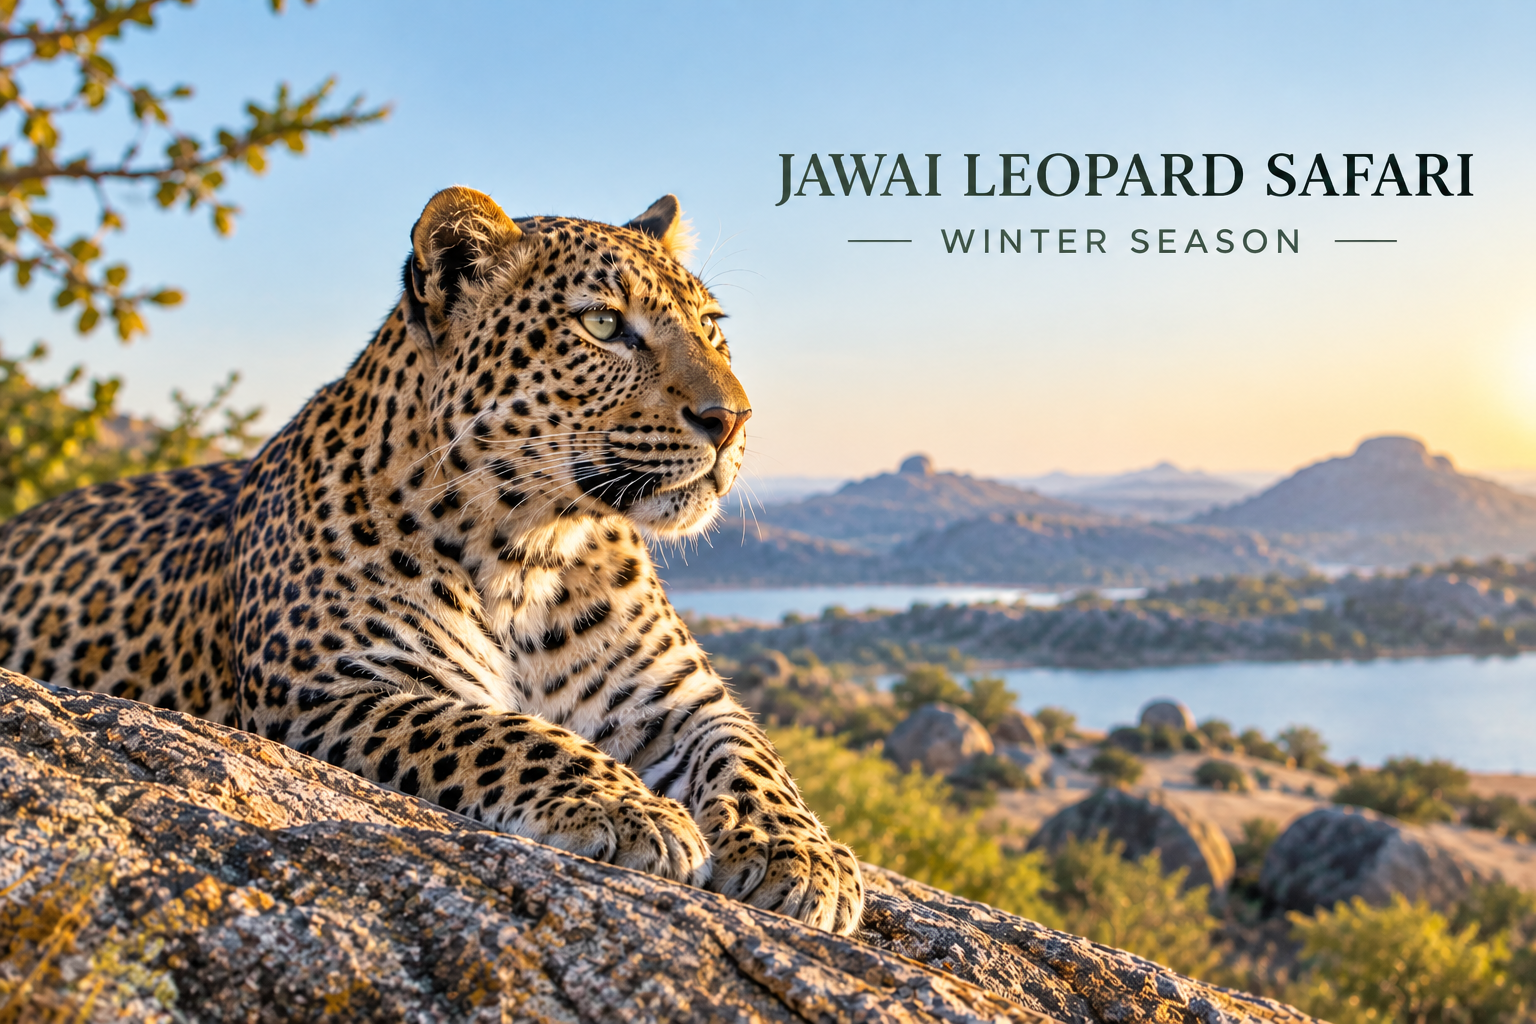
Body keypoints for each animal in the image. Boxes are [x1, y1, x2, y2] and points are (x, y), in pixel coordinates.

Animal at [0, 187, 865, 934]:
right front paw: (632, 810)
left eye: (713, 326)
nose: (733, 419)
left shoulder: (682, 699)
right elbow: (503, 731)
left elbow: (754, 761)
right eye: (602, 324)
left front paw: (803, 856)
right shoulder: (336, 688)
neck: (534, 555)